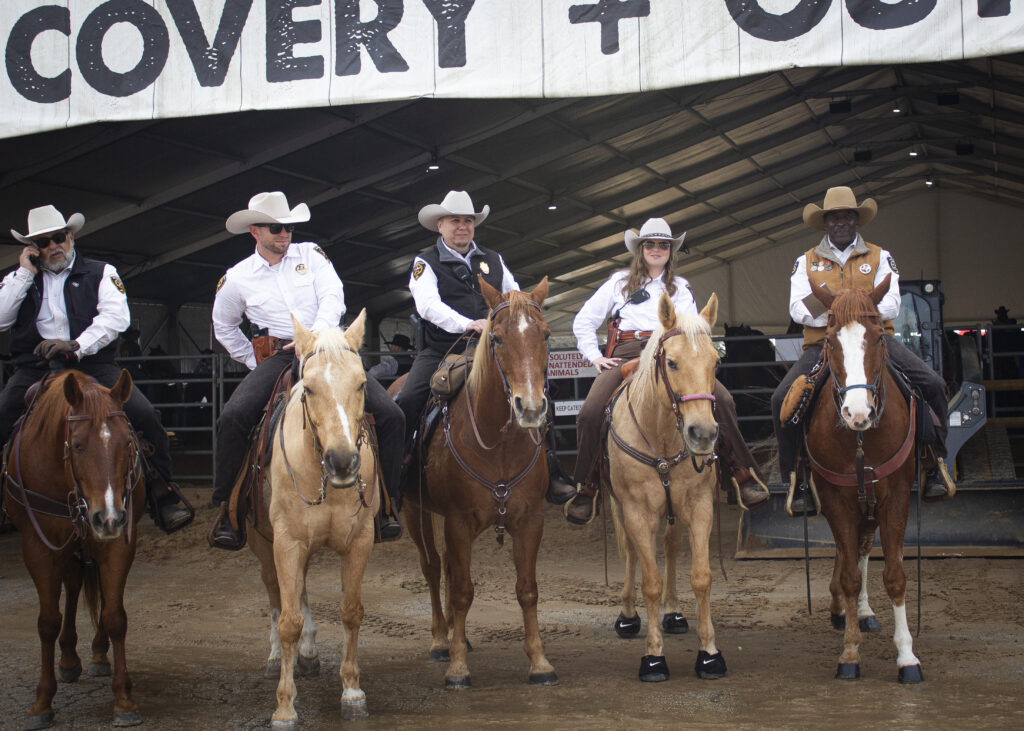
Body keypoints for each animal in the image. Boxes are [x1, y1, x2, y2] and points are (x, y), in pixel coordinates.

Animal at [1, 372, 144, 724]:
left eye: (127, 442)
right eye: (77, 444)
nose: (108, 517)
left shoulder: (119, 544)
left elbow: (114, 615)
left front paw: (123, 699)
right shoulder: (38, 546)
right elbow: (47, 621)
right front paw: (42, 702)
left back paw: (97, 655)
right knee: (74, 585)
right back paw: (68, 659)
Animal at [246, 309, 380, 724]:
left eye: (361, 384)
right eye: (309, 389)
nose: (342, 461)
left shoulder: (360, 541)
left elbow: (351, 611)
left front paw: (352, 691)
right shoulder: (287, 542)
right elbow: (288, 620)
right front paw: (284, 707)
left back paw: (307, 653)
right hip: (263, 543)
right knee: (275, 593)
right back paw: (278, 656)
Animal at [403, 276, 557, 688]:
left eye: (546, 335)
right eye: (497, 339)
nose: (530, 408)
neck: (498, 444)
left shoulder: (530, 521)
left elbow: (527, 590)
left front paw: (540, 662)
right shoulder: (458, 522)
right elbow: (461, 592)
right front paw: (457, 666)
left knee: (446, 569)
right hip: (414, 511)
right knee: (432, 567)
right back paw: (441, 640)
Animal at [606, 292, 729, 679]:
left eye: (715, 363)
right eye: (672, 363)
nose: (702, 434)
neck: (660, 434)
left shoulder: (700, 505)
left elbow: (701, 576)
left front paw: (709, 654)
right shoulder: (637, 511)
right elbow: (650, 582)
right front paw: (653, 657)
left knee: (672, 546)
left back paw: (673, 611)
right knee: (632, 554)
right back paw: (628, 616)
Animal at [806, 276, 921, 679]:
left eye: (878, 338)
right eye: (829, 340)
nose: (858, 413)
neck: (860, 437)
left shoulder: (896, 496)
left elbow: (895, 575)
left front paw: (907, 657)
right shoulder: (836, 499)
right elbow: (850, 577)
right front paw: (850, 653)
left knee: (863, 549)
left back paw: (866, 612)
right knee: (850, 554)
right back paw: (844, 610)